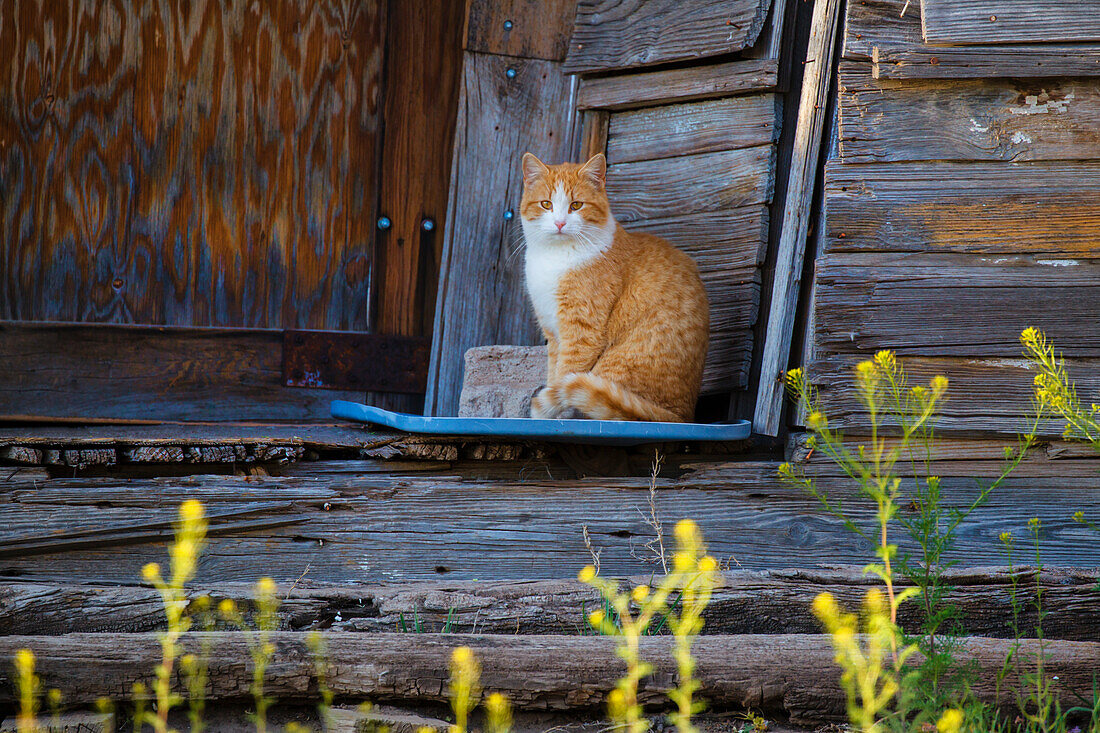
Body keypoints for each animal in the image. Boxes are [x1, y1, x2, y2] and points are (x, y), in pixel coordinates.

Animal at [519, 150, 708, 420]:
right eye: (546, 204)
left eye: (576, 205)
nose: (560, 223)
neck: (555, 257)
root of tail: (680, 416)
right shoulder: (553, 334)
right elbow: (554, 373)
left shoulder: (581, 332)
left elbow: (564, 376)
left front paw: (554, 414)